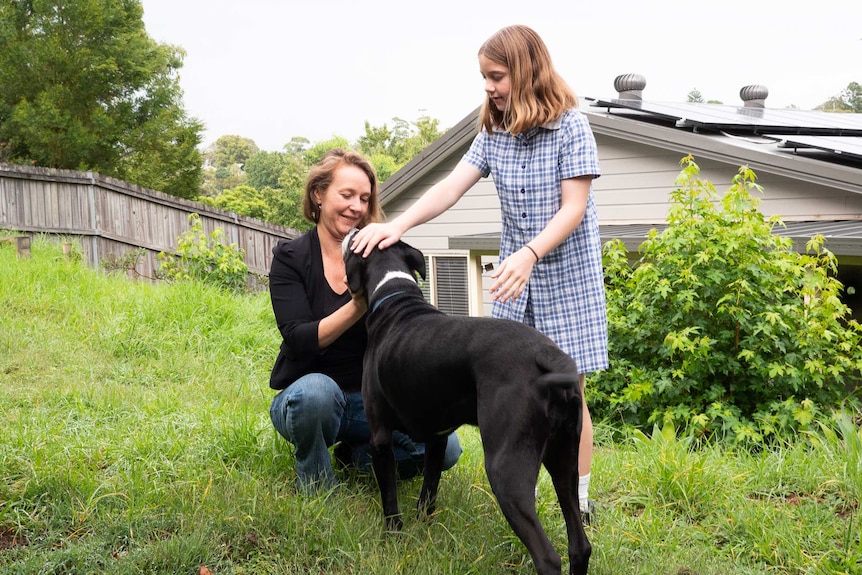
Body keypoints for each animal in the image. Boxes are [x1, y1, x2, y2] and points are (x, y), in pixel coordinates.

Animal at [344, 230, 592, 575]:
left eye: (355, 245)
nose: (352, 231)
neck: (393, 294)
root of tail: (547, 354)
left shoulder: (379, 438)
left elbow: (390, 498)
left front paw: (392, 537)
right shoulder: (436, 438)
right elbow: (429, 489)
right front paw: (424, 528)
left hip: (506, 470)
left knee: (547, 557)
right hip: (565, 460)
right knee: (579, 546)